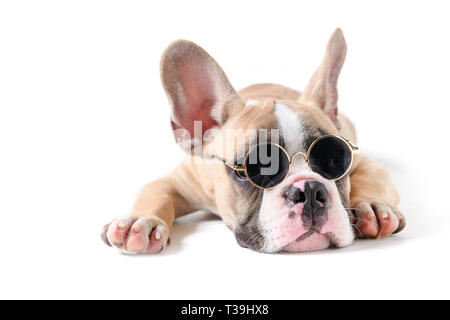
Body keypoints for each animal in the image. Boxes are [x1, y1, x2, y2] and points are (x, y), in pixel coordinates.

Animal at [100, 28, 406, 254]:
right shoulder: (178, 180)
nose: (310, 190)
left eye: (335, 160)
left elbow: (371, 179)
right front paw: (141, 221)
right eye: (255, 169)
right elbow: (155, 194)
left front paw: (372, 208)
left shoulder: (363, 162)